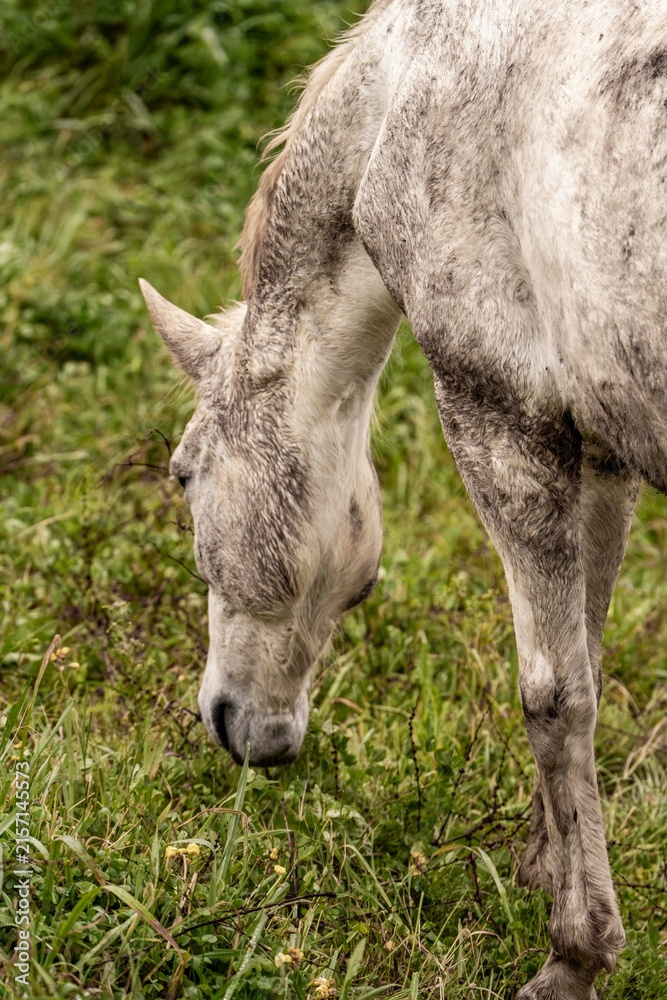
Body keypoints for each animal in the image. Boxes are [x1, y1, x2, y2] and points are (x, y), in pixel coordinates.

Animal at [139, 1, 667, 996]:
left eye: (183, 472)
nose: (242, 733)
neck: (405, 93)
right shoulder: (601, 445)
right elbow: (586, 647)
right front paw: (548, 860)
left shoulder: (500, 417)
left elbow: (554, 696)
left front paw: (573, 953)